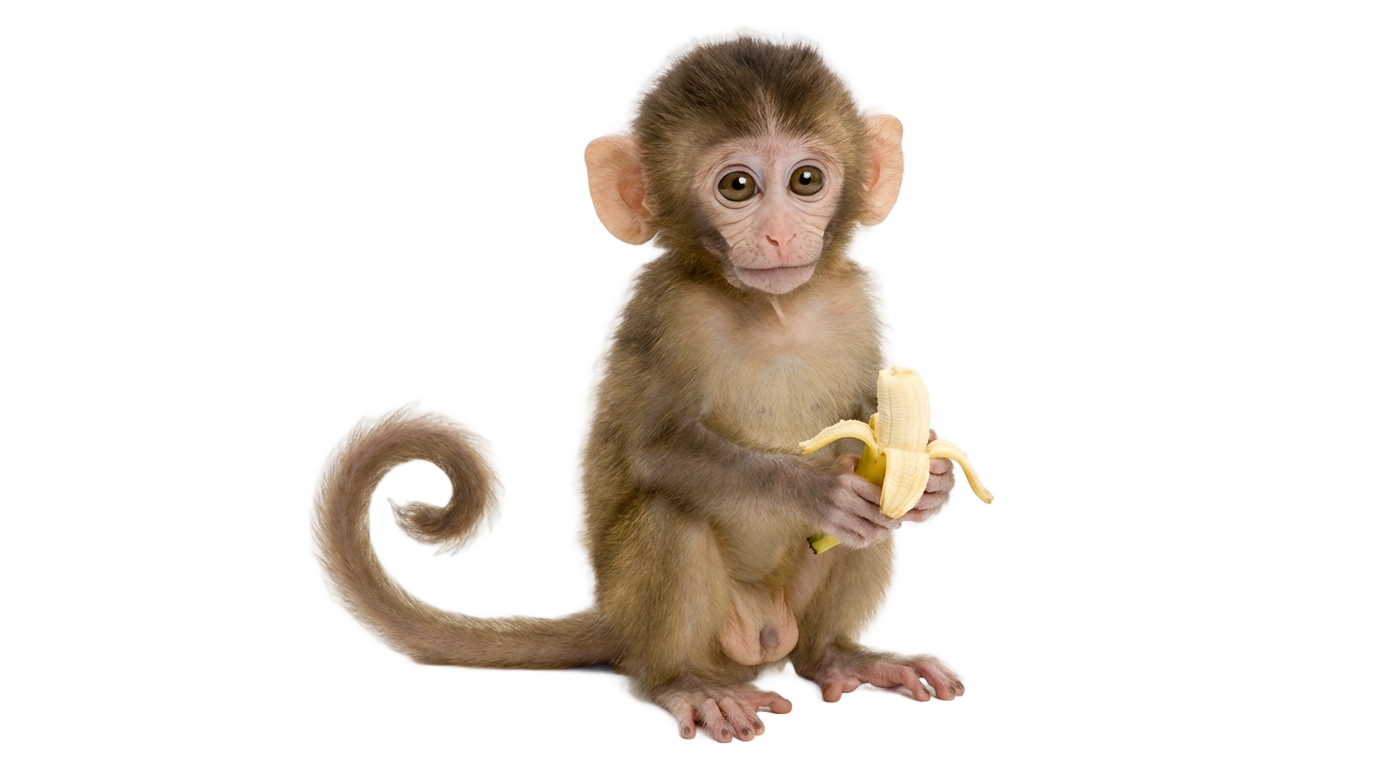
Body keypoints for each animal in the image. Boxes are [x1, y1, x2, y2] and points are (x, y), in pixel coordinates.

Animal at [313, 35, 963, 742]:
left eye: (806, 180)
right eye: (738, 186)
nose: (780, 234)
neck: (775, 313)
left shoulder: (851, 301)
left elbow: (867, 426)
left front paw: (932, 478)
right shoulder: (666, 312)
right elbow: (656, 452)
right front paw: (816, 490)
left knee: (854, 560)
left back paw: (838, 658)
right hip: (674, 624)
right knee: (669, 521)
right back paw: (685, 686)